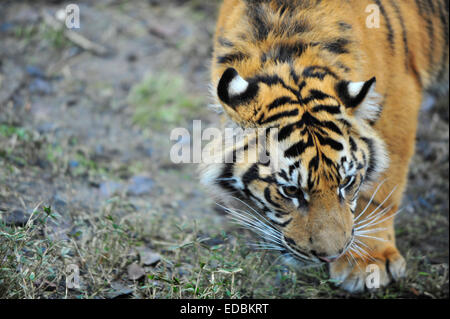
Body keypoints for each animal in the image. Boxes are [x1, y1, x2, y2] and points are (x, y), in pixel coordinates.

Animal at [199, 0, 448, 294]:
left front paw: (368, 261)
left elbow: (380, 188)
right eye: (290, 191)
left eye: (347, 182)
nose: (331, 255)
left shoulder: (399, 96)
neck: (286, 46)